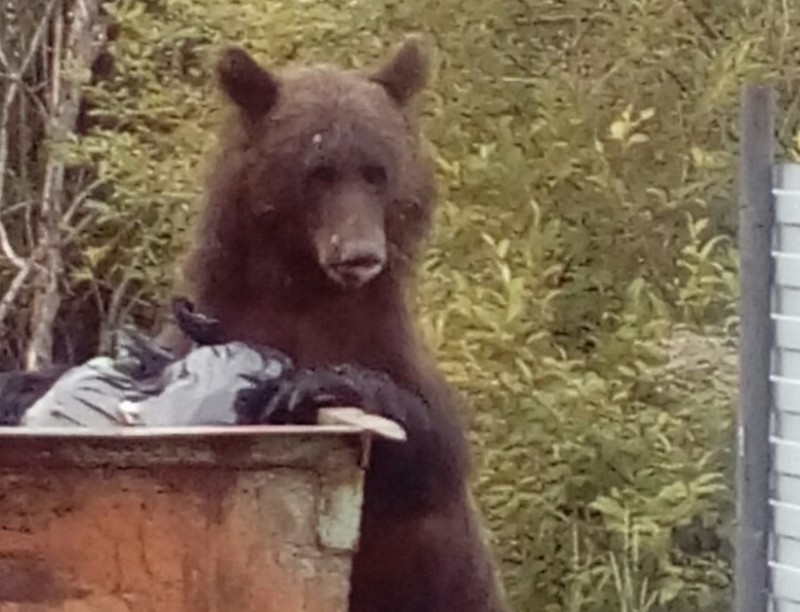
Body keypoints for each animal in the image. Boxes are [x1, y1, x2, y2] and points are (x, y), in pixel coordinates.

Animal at [180, 37, 506, 612]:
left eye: (377, 171)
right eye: (318, 171)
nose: (359, 254)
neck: (308, 290)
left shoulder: (381, 337)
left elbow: (434, 450)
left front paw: (323, 383)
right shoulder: (226, 315)